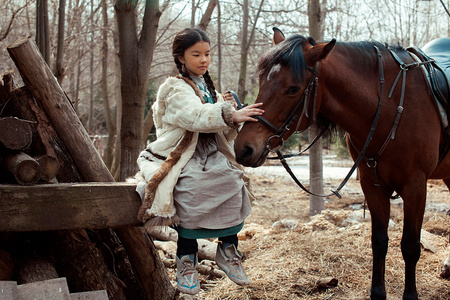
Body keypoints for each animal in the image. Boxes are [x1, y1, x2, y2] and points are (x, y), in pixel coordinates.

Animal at [234, 26, 450, 300]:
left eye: (293, 89)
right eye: (261, 82)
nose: (244, 148)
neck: (390, 108)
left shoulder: (416, 186)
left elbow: (410, 246)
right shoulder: (372, 185)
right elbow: (379, 242)